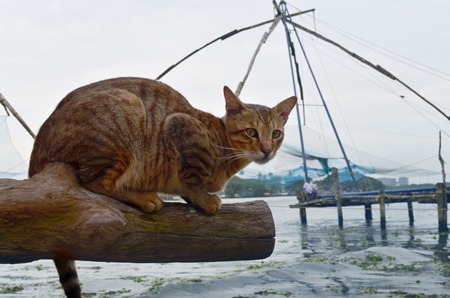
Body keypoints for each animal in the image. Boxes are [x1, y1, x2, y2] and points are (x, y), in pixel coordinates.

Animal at [27, 77, 296, 298]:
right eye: (251, 132)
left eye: (276, 134)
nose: (267, 150)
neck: (225, 147)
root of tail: (39, 140)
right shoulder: (181, 126)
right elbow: (192, 177)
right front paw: (204, 198)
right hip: (125, 115)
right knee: (94, 181)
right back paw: (143, 197)